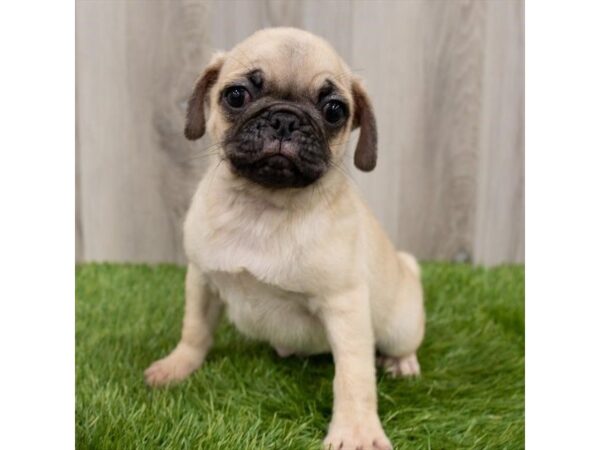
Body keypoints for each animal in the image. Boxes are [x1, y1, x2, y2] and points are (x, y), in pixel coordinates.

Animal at [144, 27, 426, 450]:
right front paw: (179, 365)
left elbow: (354, 376)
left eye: (334, 111)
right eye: (236, 95)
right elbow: (194, 329)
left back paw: (401, 362)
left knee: (401, 343)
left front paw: (356, 431)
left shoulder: (345, 308)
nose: (284, 119)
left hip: (400, 323)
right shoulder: (202, 279)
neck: (264, 206)